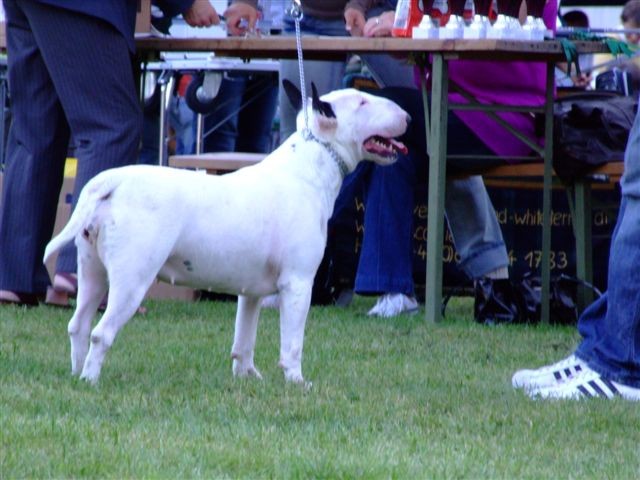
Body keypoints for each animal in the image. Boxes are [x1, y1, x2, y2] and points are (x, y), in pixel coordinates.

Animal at [42, 80, 408, 384]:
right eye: (362, 102)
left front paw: (247, 376)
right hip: (132, 278)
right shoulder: (298, 282)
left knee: (78, 324)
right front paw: (296, 382)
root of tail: (111, 181)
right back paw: (91, 380)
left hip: (91, 269)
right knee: (101, 332)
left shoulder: (252, 291)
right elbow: (292, 343)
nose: (407, 116)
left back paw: (76, 374)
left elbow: (244, 338)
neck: (309, 166)